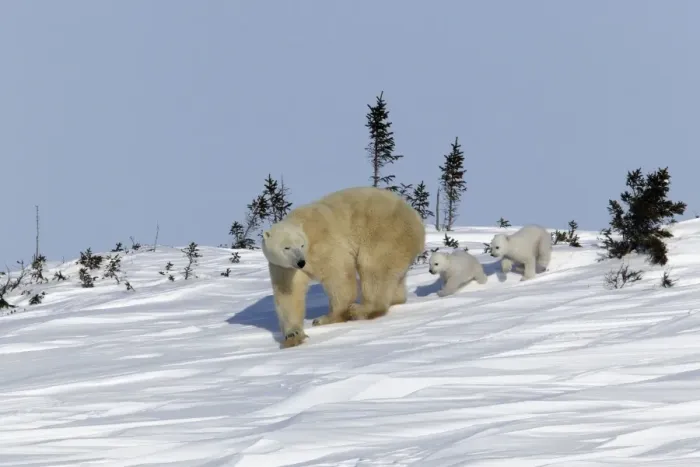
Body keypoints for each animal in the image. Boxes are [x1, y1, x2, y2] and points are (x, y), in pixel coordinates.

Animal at [261, 186, 426, 348]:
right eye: (286, 247)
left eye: (301, 245)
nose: (301, 262)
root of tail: (417, 220)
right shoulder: (283, 267)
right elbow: (288, 293)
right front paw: (293, 335)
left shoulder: (323, 245)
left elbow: (338, 275)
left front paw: (327, 318)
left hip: (385, 232)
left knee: (373, 267)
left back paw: (361, 309)